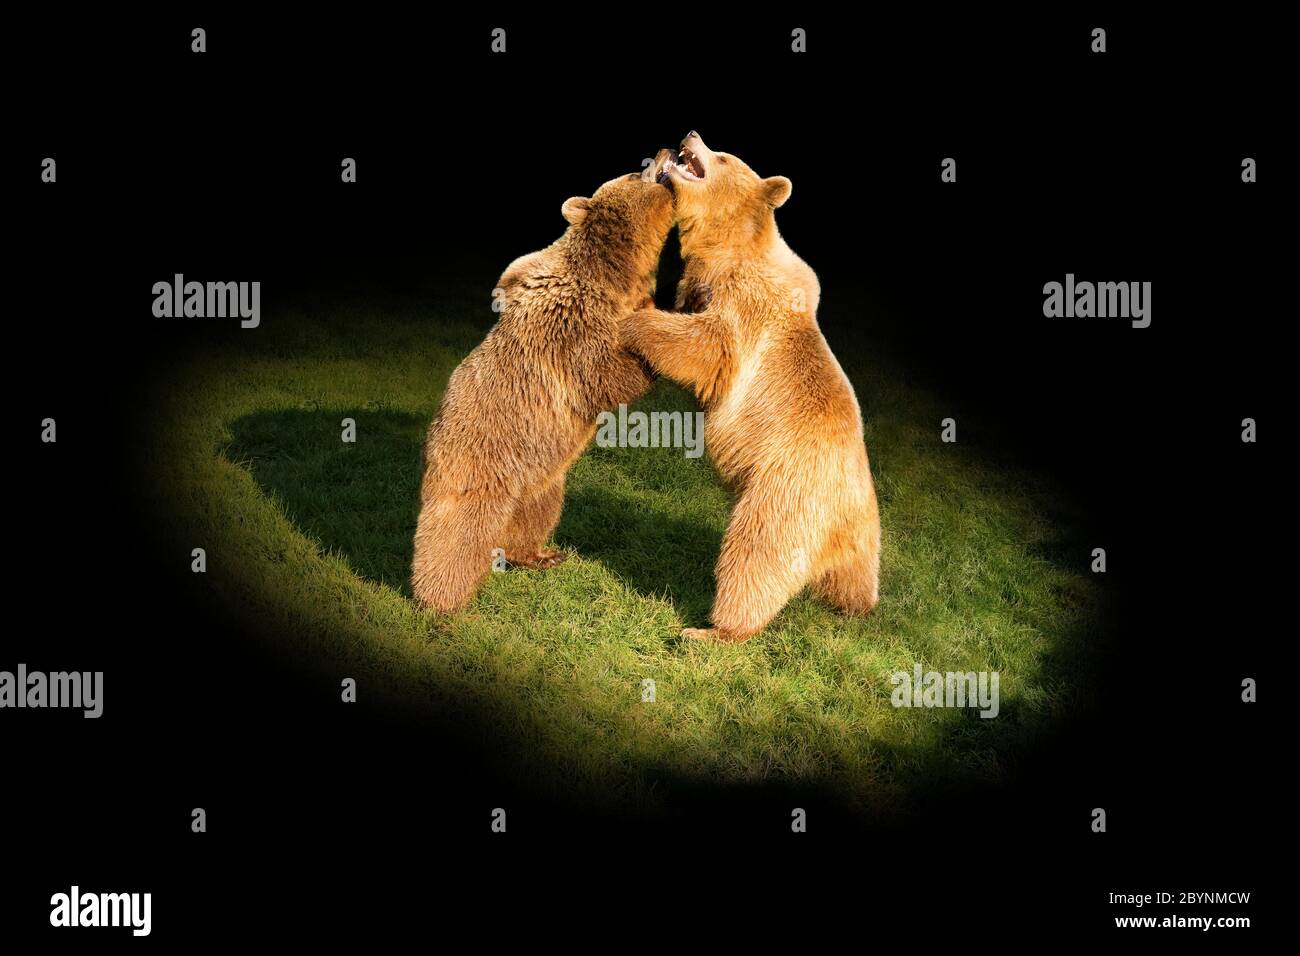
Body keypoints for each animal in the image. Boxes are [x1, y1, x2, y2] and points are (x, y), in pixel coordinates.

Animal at [411, 152, 677, 612]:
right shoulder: (572, 321)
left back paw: (539, 555)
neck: (615, 273)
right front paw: (652, 353)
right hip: (479, 464)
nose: (663, 151)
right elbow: (602, 373)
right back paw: (441, 600)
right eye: (634, 170)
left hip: (544, 483)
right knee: (457, 534)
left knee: (534, 519)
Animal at [621, 132, 881, 641]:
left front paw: (635, 321)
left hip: (783, 496)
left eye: (722, 156)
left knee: (755, 559)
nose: (690, 134)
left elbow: (708, 348)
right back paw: (855, 606)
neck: (727, 248)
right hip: (863, 539)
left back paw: (711, 630)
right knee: (855, 581)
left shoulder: (748, 304)